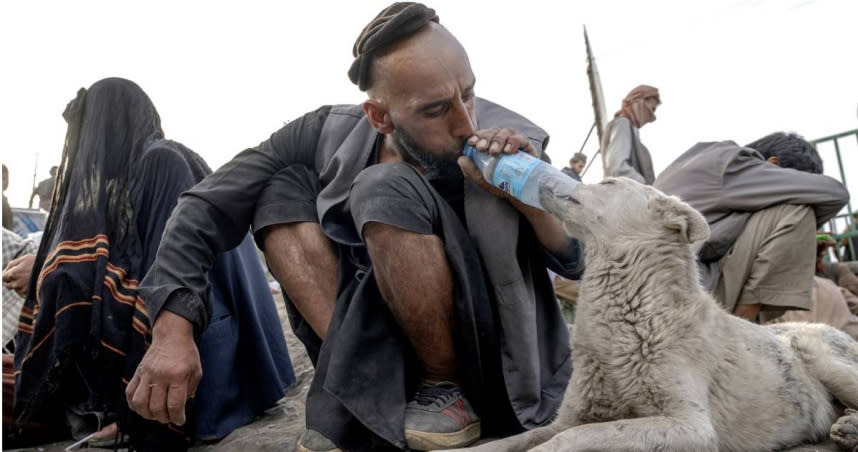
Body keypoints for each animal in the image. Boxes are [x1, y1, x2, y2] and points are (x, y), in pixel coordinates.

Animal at [448, 177, 856, 452]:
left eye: (608, 182)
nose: (546, 179)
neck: (633, 315)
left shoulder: (690, 426)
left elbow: (575, 437)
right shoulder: (570, 414)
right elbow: (514, 439)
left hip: (818, 353)